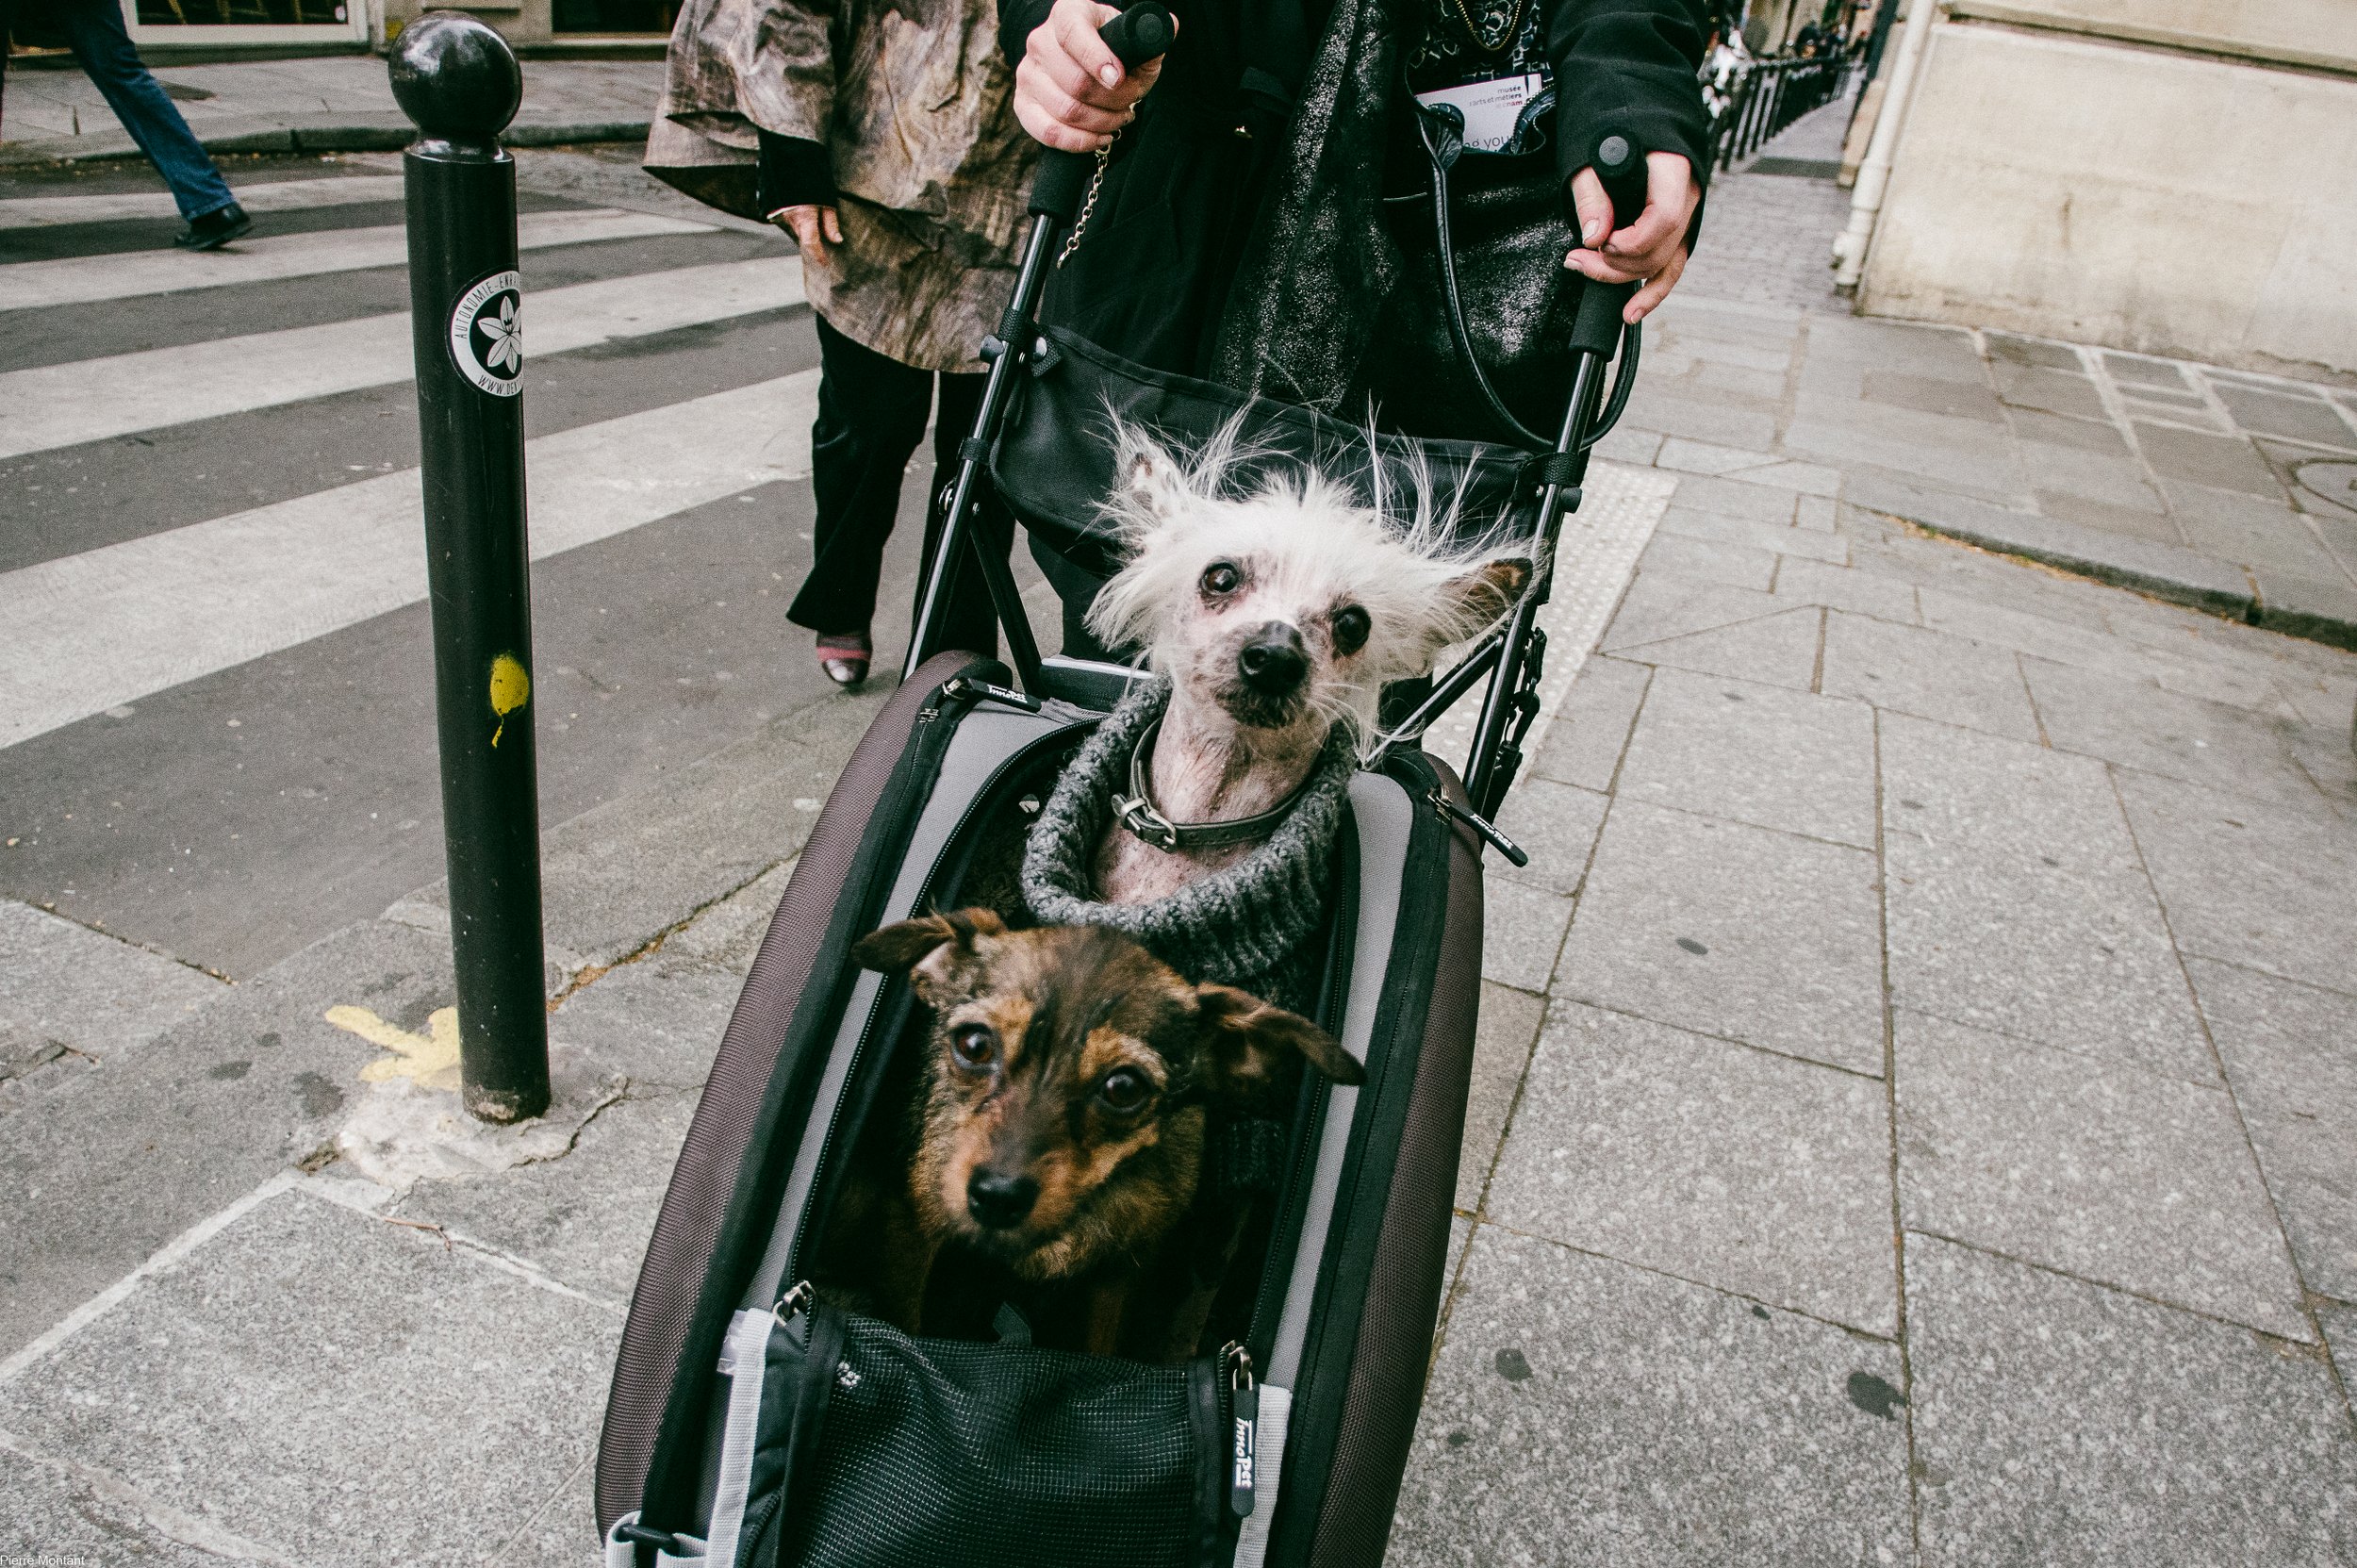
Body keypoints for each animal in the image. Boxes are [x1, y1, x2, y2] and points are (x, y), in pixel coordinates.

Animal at [830, 905, 1376, 1358]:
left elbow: (1100, 1346)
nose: (997, 1196)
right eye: (974, 1044)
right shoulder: (910, 1234)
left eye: (1123, 1087)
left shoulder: (1119, 1276)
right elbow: (907, 1324)